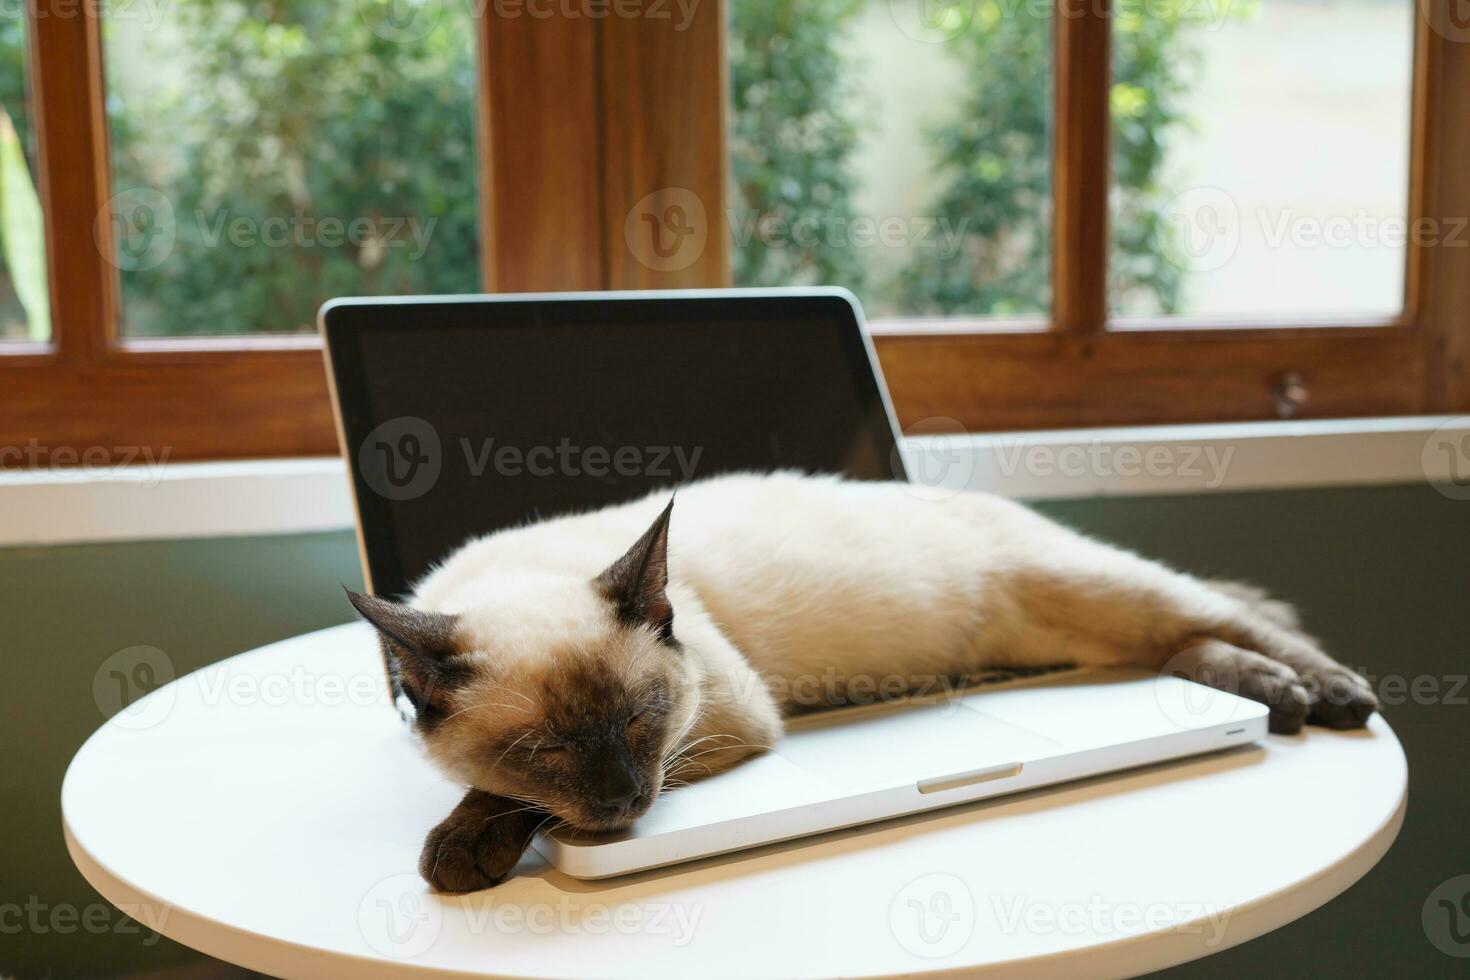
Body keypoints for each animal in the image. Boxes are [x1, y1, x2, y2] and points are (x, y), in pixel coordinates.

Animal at [343, 470, 1375, 893]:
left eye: (643, 719)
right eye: (548, 748)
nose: (627, 798)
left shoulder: (722, 721)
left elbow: (499, 801)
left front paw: (460, 851)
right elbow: (511, 796)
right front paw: (473, 841)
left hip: (1101, 589)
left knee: (1230, 617)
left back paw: (1328, 696)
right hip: (1082, 640)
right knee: (1181, 650)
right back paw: (1275, 698)